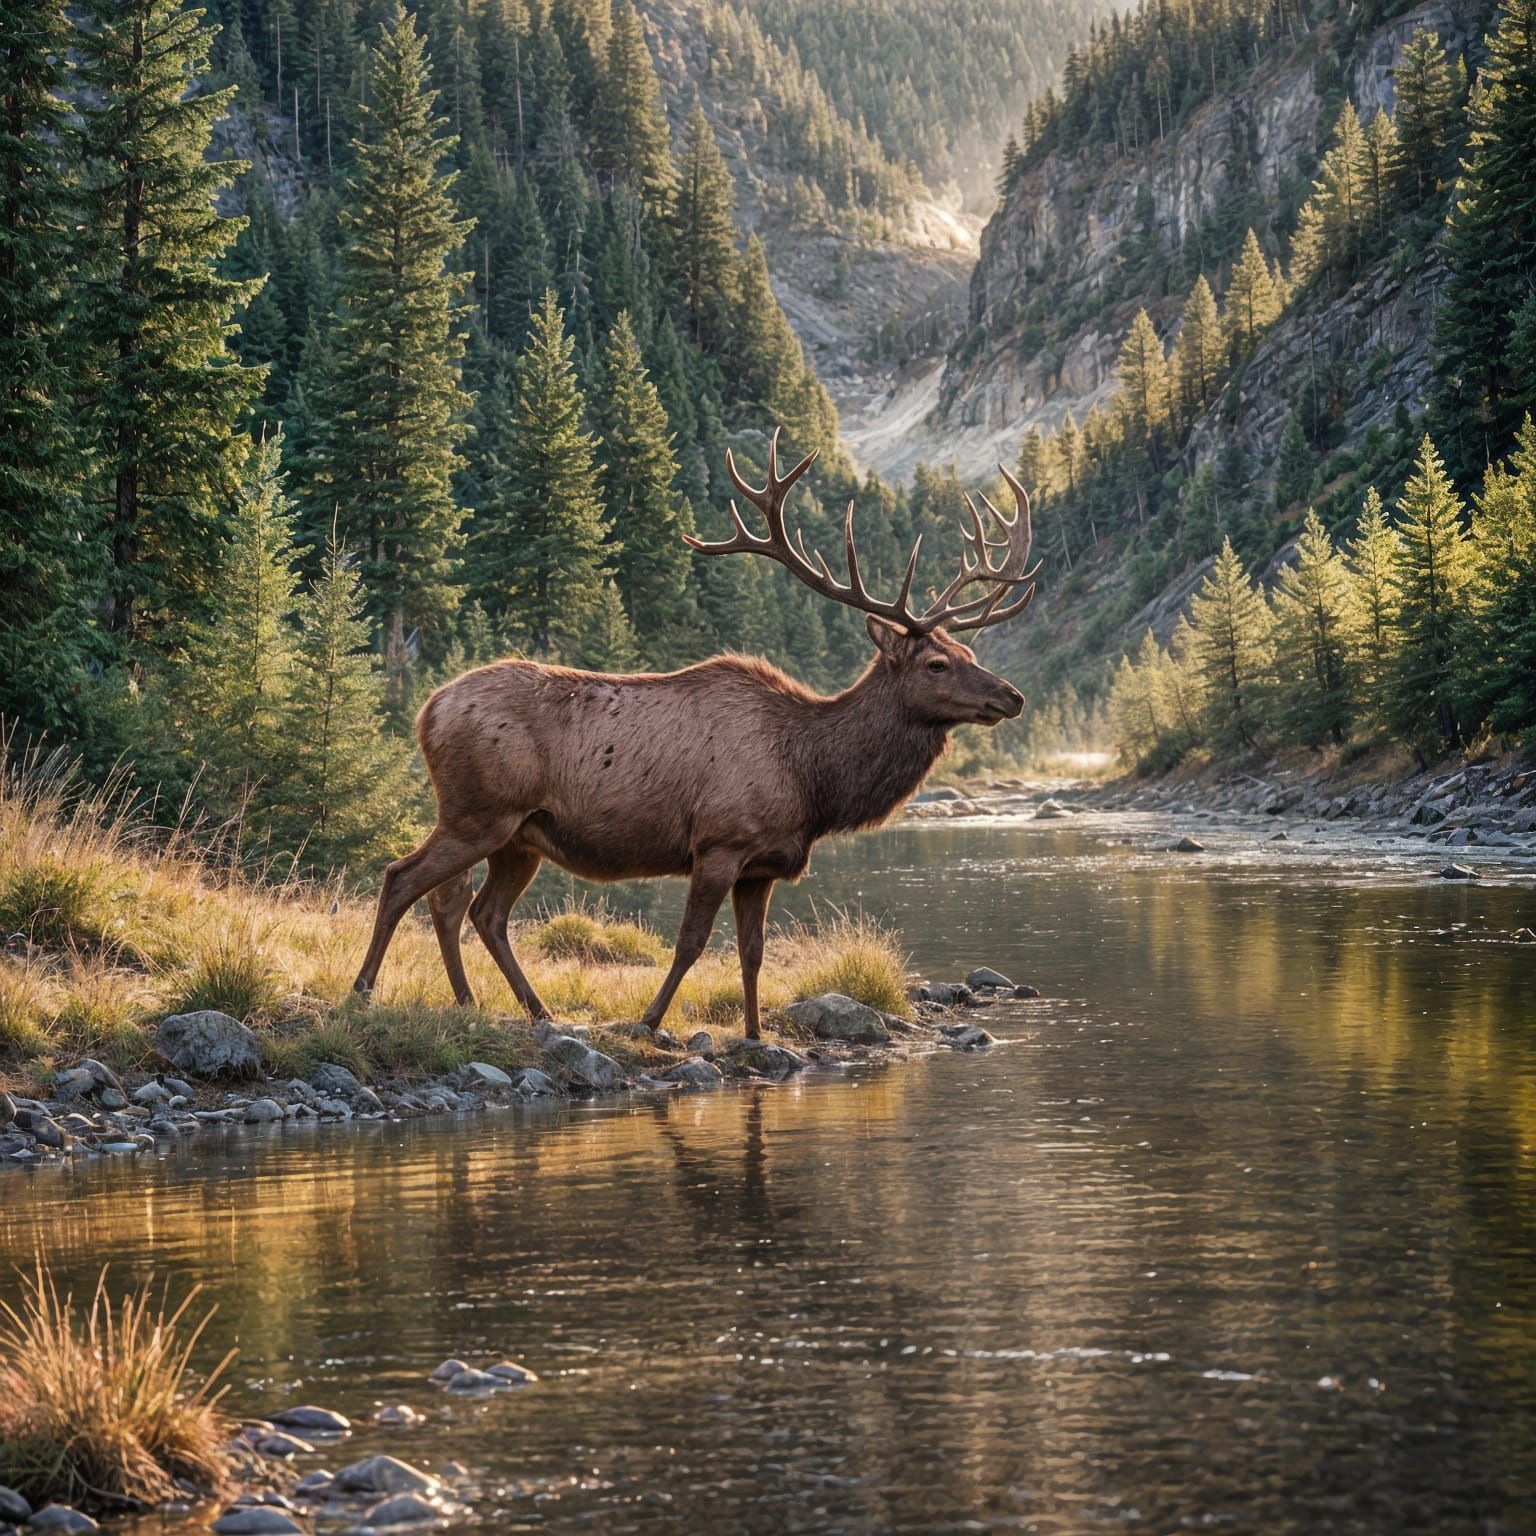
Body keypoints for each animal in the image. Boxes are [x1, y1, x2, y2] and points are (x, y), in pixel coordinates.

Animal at [352, 431, 1038, 1040]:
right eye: (937, 664)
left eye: (969, 649)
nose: (1012, 696)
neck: (812, 777)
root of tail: (426, 712)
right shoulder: (719, 842)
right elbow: (690, 943)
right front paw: (650, 1021)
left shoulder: (763, 865)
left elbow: (753, 952)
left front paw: (757, 1034)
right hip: (479, 811)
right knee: (403, 878)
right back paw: (366, 992)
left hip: (519, 834)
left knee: (476, 910)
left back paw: (510, 1007)